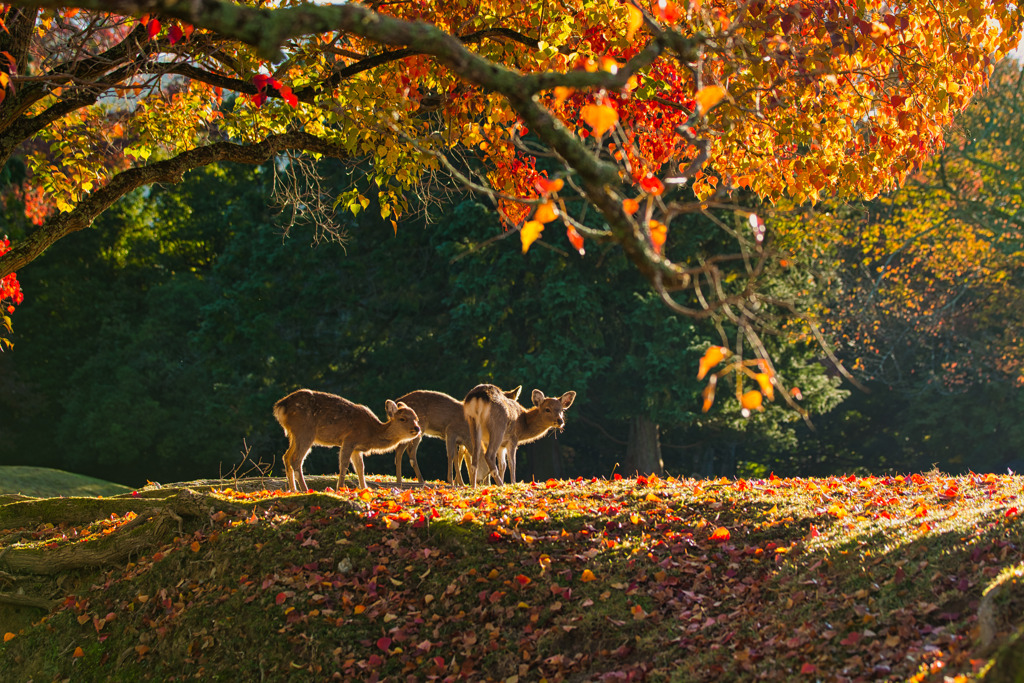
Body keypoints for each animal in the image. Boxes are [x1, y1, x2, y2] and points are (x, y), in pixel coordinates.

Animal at [270, 387, 421, 493]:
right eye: (403, 419)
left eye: (416, 418)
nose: (417, 428)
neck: (371, 434)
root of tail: (280, 406)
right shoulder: (349, 439)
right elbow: (344, 465)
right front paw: (340, 489)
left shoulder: (356, 449)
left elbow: (360, 467)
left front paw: (364, 489)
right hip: (305, 431)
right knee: (296, 459)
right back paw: (306, 490)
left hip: (293, 434)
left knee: (286, 456)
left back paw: (293, 490)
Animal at [391, 387, 520, 489]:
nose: (481, 481)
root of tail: (397, 402)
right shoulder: (451, 431)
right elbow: (452, 455)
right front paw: (453, 481)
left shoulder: (461, 441)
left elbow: (458, 458)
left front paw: (461, 483)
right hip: (419, 427)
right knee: (409, 451)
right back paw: (419, 481)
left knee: (401, 449)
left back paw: (400, 480)